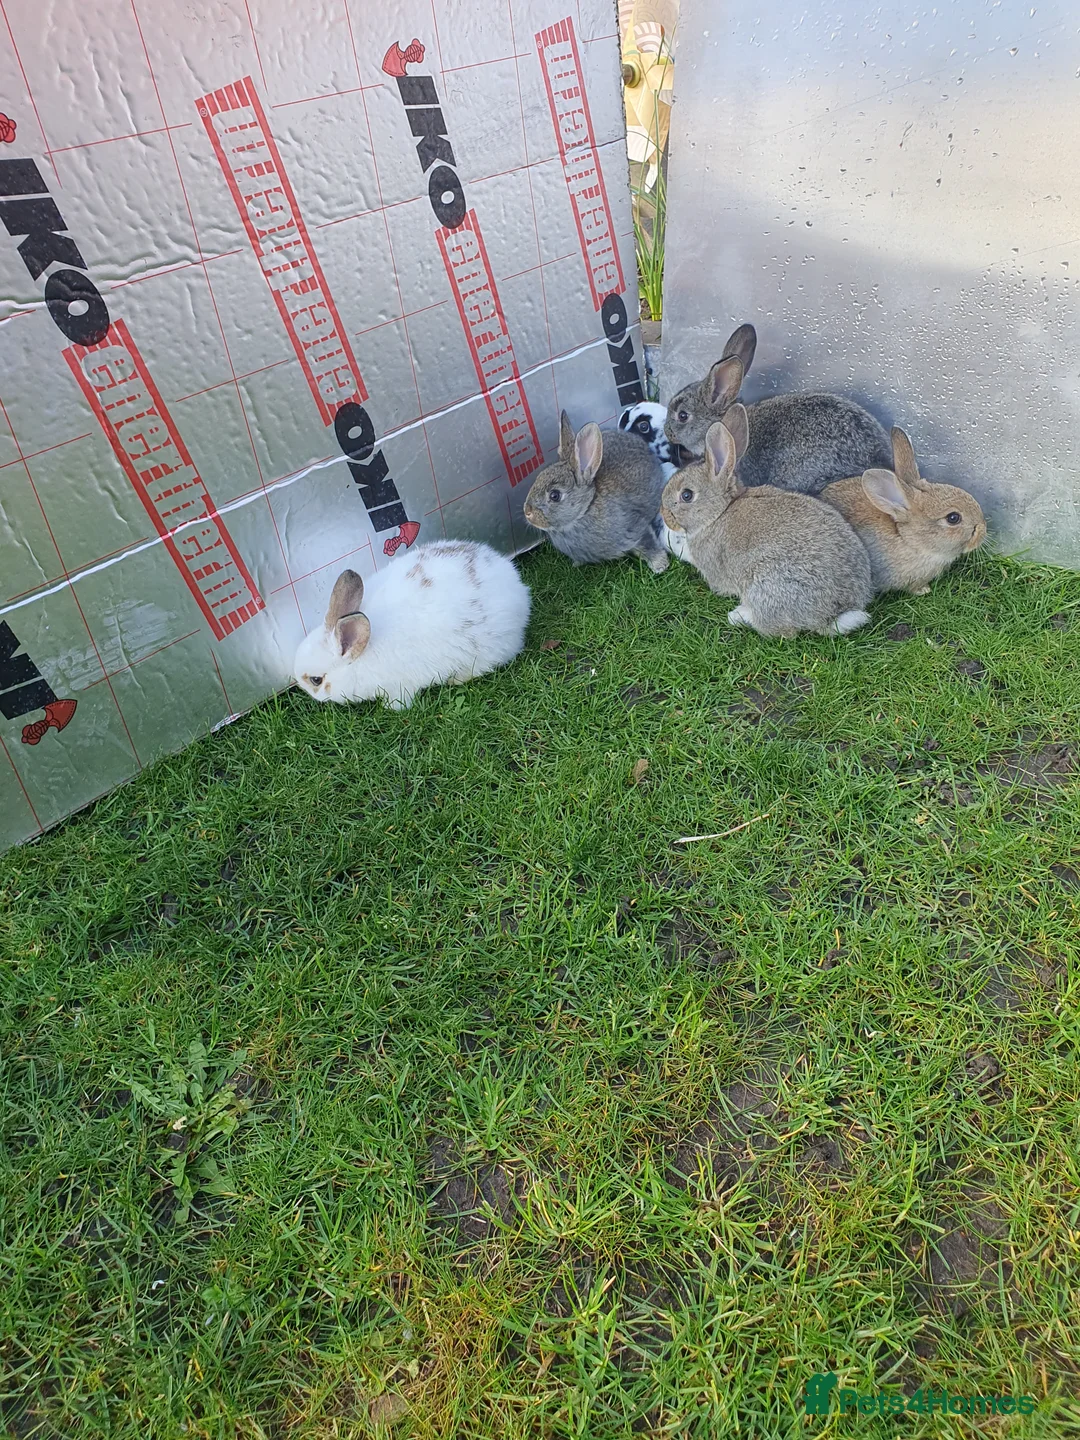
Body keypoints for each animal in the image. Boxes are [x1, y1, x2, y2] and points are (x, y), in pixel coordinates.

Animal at [293, 540, 531, 710]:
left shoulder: (398, 686)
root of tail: (518, 586)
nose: (298, 684)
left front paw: (391, 708)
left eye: (316, 680)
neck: (361, 657)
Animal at [523, 411, 669, 571]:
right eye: (538, 478)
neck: (585, 510)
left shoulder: (635, 528)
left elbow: (647, 543)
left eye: (555, 495)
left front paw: (660, 565)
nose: (527, 512)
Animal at [660, 406, 874, 638]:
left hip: (764, 587)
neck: (719, 513)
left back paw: (738, 615)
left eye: (687, 495)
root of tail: (835, 612)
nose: (663, 514)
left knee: (780, 629)